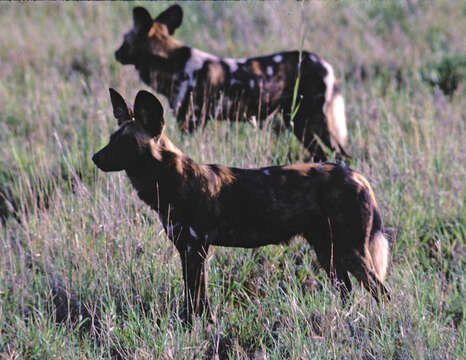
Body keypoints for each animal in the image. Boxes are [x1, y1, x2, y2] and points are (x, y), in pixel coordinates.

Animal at [92, 88, 390, 324]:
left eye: (125, 142)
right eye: (110, 138)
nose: (95, 157)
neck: (171, 179)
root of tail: (357, 176)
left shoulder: (195, 249)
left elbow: (195, 300)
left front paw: (194, 329)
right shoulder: (188, 250)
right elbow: (196, 299)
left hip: (351, 251)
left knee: (382, 292)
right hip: (328, 252)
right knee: (347, 292)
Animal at [114, 4, 348, 160]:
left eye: (125, 40)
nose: (116, 53)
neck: (171, 64)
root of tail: (324, 64)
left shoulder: (191, 121)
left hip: (308, 122)